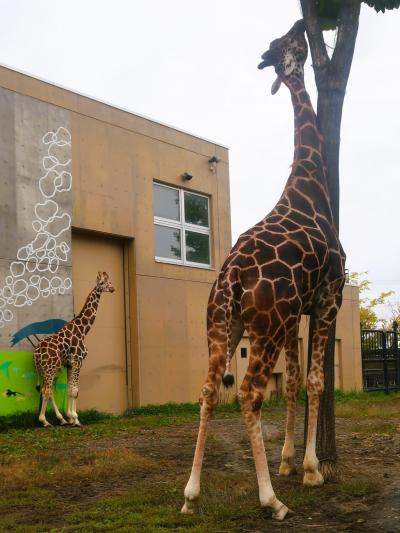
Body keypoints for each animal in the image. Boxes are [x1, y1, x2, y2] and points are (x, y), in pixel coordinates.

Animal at [33, 272, 115, 426]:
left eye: (109, 281)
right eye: (102, 283)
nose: (113, 288)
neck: (83, 331)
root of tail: (35, 354)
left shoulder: (70, 364)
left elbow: (69, 390)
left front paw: (70, 417)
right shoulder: (78, 361)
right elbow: (75, 391)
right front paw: (75, 418)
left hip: (43, 370)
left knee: (46, 390)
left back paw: (61, 419)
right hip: (50, 368)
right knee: (47, 391)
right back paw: (45, 421)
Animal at [183, 20, 346, 520]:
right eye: (289, 43)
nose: (303, 26)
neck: (309, 189)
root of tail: (231, 278)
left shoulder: (298, 313)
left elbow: (292, 382)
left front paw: (290, 462)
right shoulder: (329, 296)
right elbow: (315, 381)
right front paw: (310, 471)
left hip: (224, 324)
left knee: (209, 390)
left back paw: (190, 494)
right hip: (265, 325)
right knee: (250, 393)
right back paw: (271, 499)